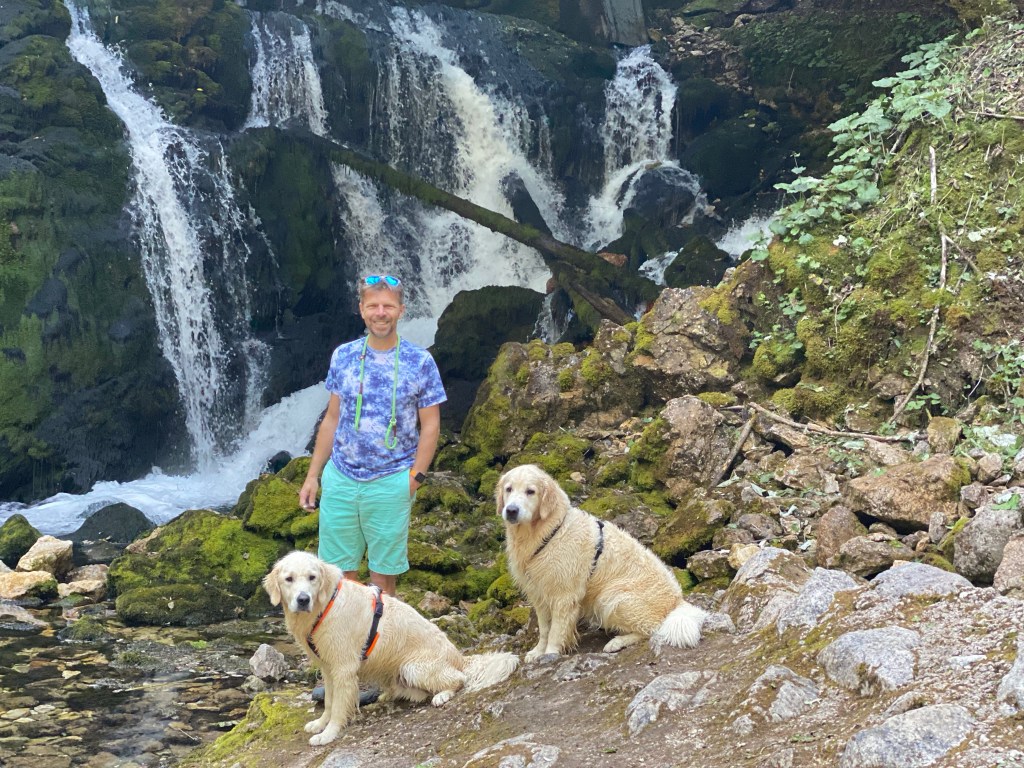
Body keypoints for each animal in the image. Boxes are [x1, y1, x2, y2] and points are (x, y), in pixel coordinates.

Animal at [263, 551, 519, 746]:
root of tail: (459, 657)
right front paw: (320, 724)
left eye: (312, 577)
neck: (326, 604)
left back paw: (442, 695)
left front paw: (328, 734)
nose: (303, 599)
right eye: (288, 579)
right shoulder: (328, 667)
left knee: (459, 678)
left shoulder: (344, 668)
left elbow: (338, 708)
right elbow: (328, 701)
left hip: (413, 667)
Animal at [497, 464, 706, 662]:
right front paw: (538, 652)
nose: (511, 510)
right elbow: (544, 629)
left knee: (651, 629)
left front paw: (550, 654)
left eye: (530, 491)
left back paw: (617, 642)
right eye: (508, 489)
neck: (548, 531)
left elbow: (556, 631)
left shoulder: (564, 596)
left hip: (611, 597)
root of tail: (677, 602)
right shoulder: (538, 593)